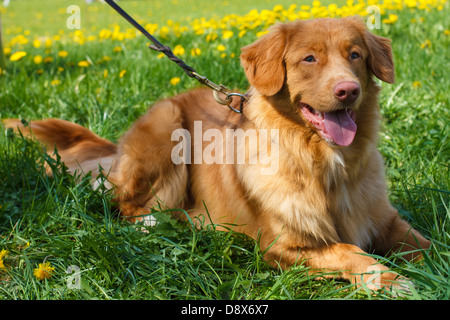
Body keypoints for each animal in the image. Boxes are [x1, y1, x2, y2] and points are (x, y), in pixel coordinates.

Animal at [5, 16, 430, 292]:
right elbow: (351, 252)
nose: (348, 91)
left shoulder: (386, 221)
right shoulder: (285, 246)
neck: (325, 165)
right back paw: (169, 223)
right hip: (166, 128)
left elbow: (426, 243)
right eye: (309, 59)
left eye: (355, 55)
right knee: (125, 206)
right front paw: (391, 280)